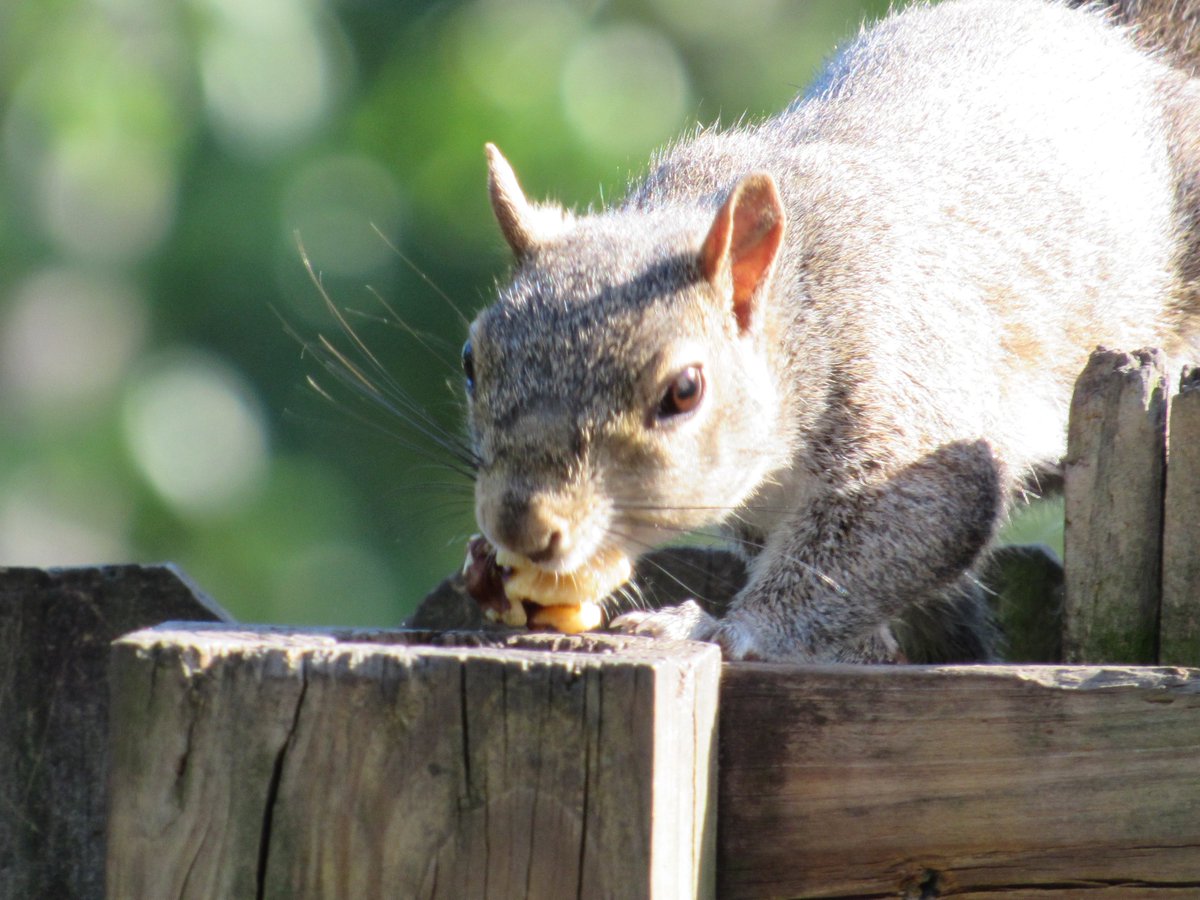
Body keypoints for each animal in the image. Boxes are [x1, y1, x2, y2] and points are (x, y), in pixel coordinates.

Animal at [460, 0, 1200, 662]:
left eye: (685, 391)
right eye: (472, 360)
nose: (521, 526)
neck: (799, 311)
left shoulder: (903, 384)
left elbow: (903, 522)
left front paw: (720, 629)